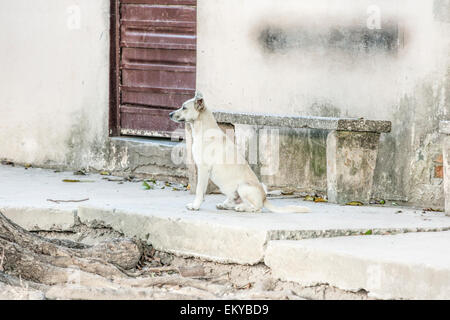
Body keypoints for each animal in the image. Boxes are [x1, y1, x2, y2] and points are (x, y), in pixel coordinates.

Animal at [169, 91, 310, 214]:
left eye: (184, 107)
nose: (169, 114)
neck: (203, 129)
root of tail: (264, 197)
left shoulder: (203, 169)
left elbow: (199, 190)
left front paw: (195, 206)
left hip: (243, 187)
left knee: (257, 208)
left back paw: (242, 208)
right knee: (236, 201)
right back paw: (227, 205)